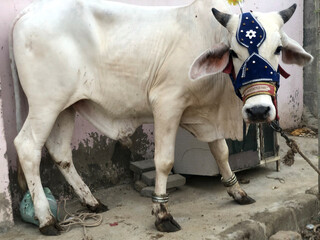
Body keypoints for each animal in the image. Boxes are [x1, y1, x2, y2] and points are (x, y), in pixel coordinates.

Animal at [10, 0, 312, 235]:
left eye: (278, 49)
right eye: (233, 53)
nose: (258, 111)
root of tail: (25, 14)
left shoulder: (207, 117)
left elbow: (222, 152)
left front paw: (237, 191)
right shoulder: (167, 104)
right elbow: (164, 162)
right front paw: (162, 212)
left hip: (67, 106)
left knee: (60, 152)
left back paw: (91, 201)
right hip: (46, 104)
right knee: (27, 147)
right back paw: (46, 219)